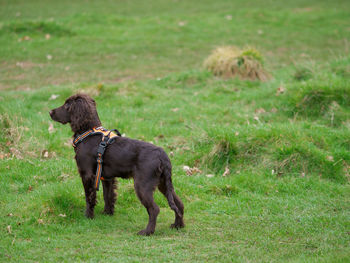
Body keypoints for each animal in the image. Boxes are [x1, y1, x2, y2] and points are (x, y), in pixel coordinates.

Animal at [51, 94, 186, 236]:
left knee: (154, 209)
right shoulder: (106, 177)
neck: (88, 132)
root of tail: (162, 155)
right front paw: (107, 213)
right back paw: (178, 225)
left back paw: (147, 231)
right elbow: (108, 195)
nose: (50, 112)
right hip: (163, 183)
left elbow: (89, 197)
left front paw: (88, 216)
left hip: (143, 185)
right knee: (179, 204)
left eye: (67, 105)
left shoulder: (87, 174)